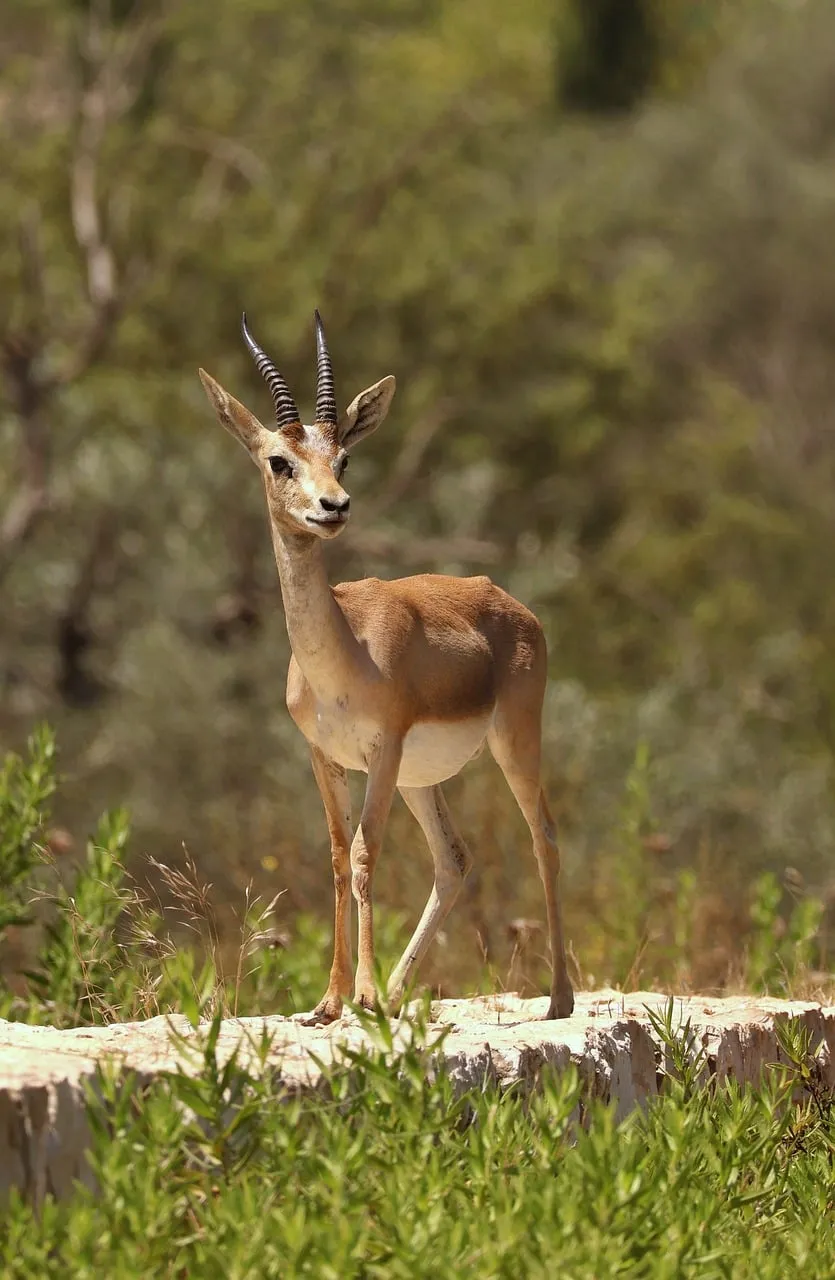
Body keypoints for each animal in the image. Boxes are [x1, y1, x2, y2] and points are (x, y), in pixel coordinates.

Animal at [198, 312, 575, 1023]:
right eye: (279, 460)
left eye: (343, 456)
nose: (333, 507)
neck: (343, 658)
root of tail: (507, 601)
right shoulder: (324, 757)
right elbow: (339, 858)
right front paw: (331, 1000)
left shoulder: (383, 749)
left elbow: (367, 854)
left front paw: (360, 995)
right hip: (420, 779)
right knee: (454, 859)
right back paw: (399, 995)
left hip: (510, 741)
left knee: (543, 835)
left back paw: (559, 1000)